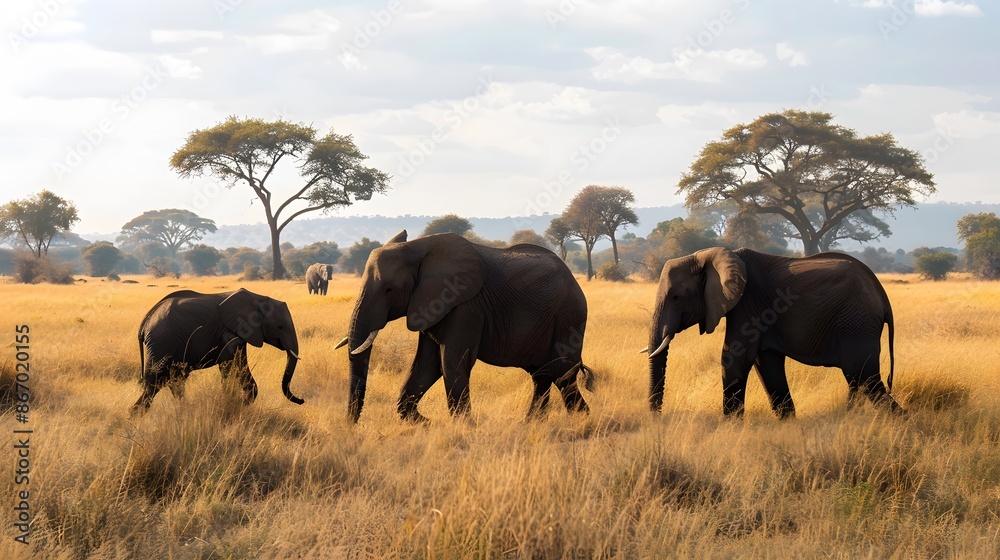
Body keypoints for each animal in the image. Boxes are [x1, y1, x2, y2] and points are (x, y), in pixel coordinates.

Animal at [131, 288, 304, 414]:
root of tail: (144, 323)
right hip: (162, 344)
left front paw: (239, 403)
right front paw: (233, 401)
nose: (301, 400)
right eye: (280, 327)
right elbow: (229, 365)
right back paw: (136, 415)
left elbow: (239, 364)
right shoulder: (230, 331)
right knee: (156, 382)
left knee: (174, 380)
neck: (258, 298)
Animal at [336, 230, 593, 423]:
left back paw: (581, 422)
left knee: (562, 373)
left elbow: (451, 362)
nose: (351, 426)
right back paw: (532, 424)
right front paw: (425, 422)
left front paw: (465, 427)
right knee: (544, 375)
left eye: (389, 289)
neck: (416, 249)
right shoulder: (432, 306)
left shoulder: (465, 306)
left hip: (568, 316)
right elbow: (426, 366)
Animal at [646, 247, 901, 418]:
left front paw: (730, 426)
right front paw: (788, 423)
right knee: (858, 380)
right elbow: (766, 363)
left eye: (675, 297)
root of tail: (883, 298)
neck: (709, 256)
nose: (657, 418)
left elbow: (734, 358)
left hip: (856, 324)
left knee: (866, 378)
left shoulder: (747, 304)